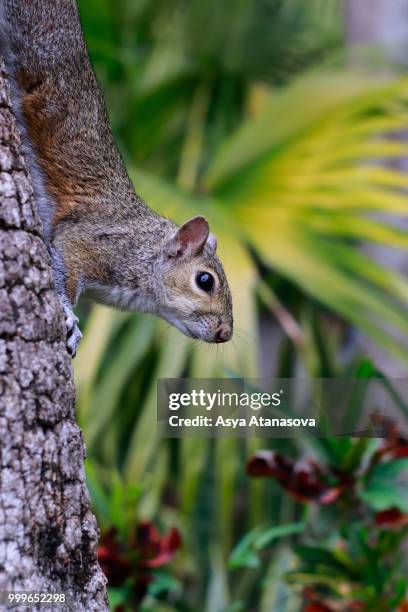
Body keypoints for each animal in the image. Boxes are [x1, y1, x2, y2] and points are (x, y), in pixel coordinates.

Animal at [0, 0, 233, 356]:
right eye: (205, 281)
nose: (226, 333)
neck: (147, 255)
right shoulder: (91, 243)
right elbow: (64, 272)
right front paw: (69, 321)